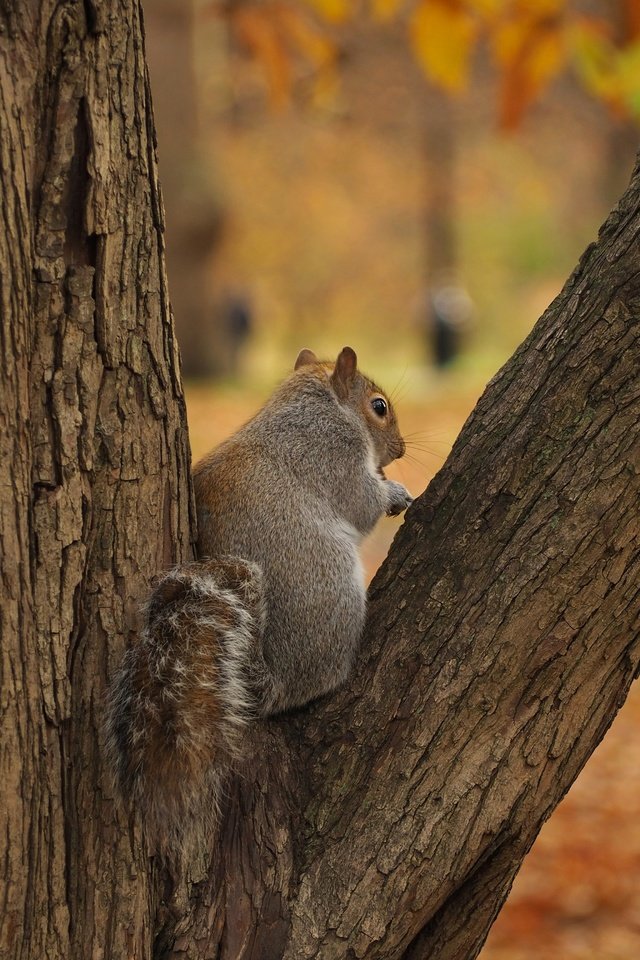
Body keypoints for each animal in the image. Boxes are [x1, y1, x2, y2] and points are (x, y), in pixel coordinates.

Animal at [104, 344, 416, 856]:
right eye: (379, 407)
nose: (402, 450)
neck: (313, 404)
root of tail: (273, 679)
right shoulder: (332, 455)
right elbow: (361, 500)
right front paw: (395, 492)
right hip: (333, 590)